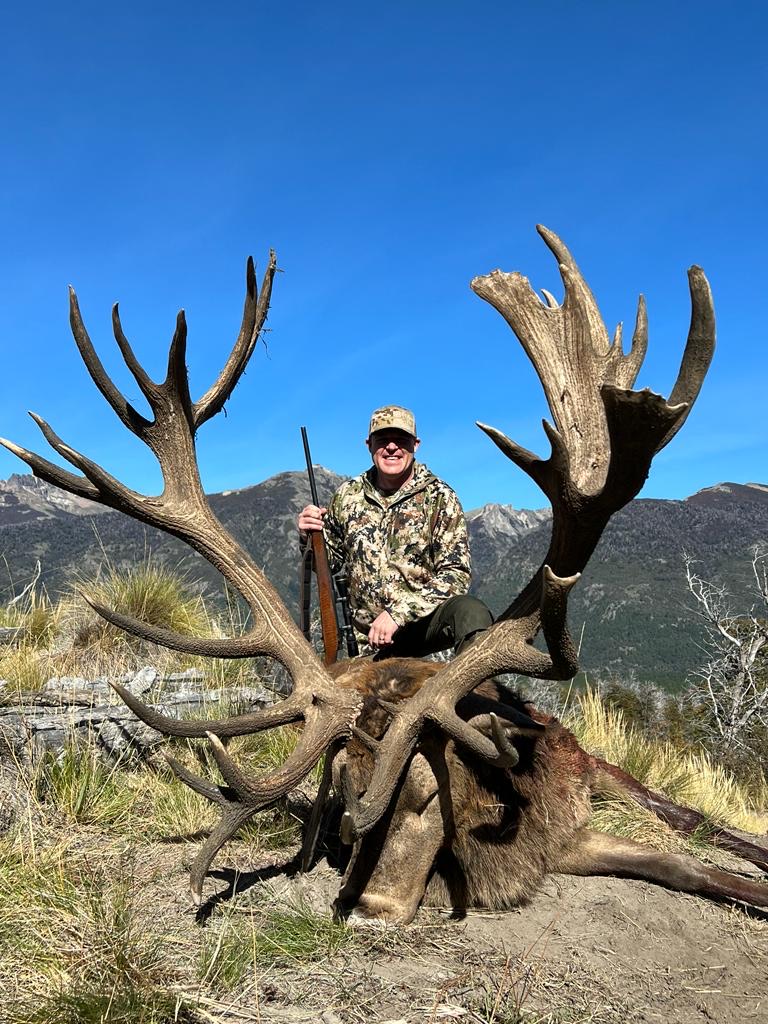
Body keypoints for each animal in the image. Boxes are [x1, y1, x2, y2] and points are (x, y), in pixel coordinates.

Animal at [2, 227, 766, 926]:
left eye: (429, 795)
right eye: (342, 801)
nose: (370, 906)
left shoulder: (574, 806)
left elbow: (696, 859)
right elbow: (686, 866)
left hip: (590, 758)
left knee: (683, 812)